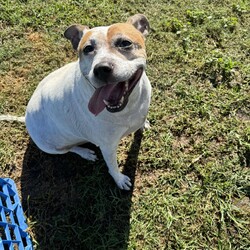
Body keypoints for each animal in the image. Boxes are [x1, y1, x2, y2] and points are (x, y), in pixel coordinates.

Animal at [0, 14, 152, 190]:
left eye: (125, 43)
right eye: (87, 49)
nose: (102, 68)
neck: (129, 107)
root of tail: (25, 118)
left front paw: (143, 124)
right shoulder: (108, 147)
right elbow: (112, 167)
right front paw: (119, 179)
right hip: (52, 147)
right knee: (70, 149)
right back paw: (85, 153)